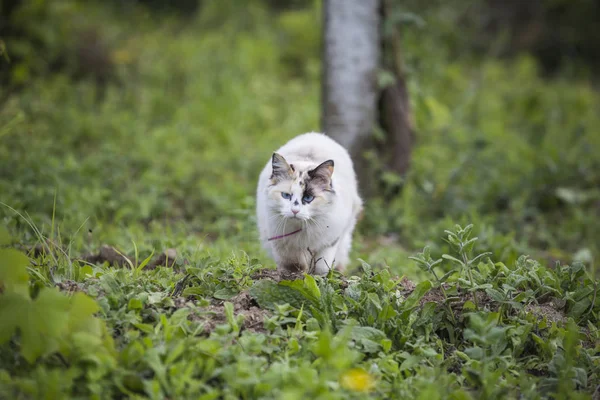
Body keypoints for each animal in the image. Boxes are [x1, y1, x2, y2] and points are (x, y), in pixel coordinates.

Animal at [256, 131, 364, 276]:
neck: (302, 229)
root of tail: (315, 135)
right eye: (286, 196)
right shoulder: (283, 243)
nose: (295, 211)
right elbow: (294, 264)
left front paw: (317, 277)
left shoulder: (330, 240)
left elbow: (321, 266)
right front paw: (296, 276)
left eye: (308, 198)